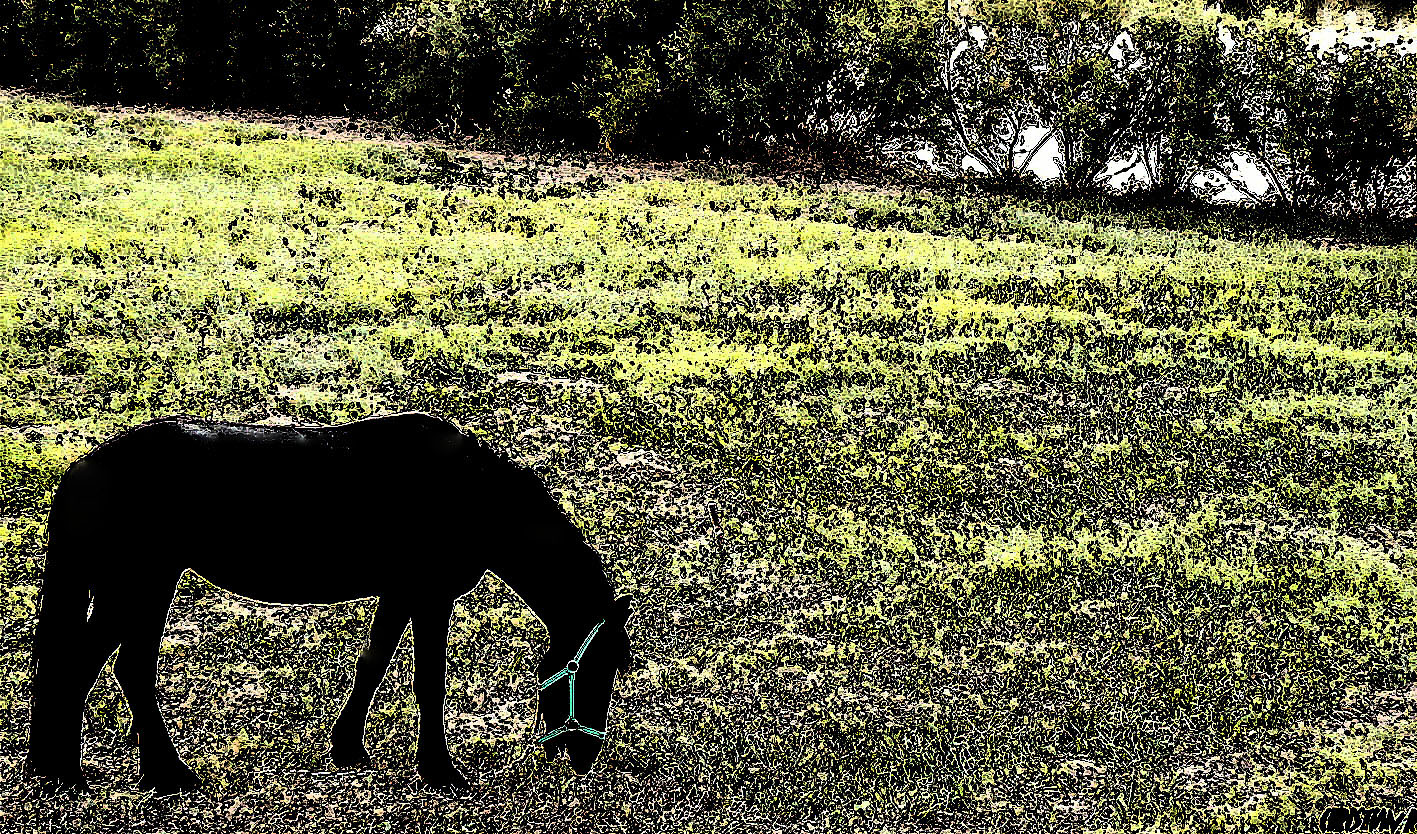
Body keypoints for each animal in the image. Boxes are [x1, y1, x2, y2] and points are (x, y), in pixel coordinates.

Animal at [24, 413, 634, 792]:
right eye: (596, 671)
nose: (585, 757)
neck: (475, 494)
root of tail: (84, 468)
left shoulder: (400, 593)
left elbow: (373, 665)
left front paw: (348, 749)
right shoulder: (430, 597)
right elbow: (427, 680)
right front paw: (439, 770)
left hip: (146, 588)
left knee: (126, 669)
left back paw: (147, 771)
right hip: (136, 588)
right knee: (81, 666)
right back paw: (77, 771)